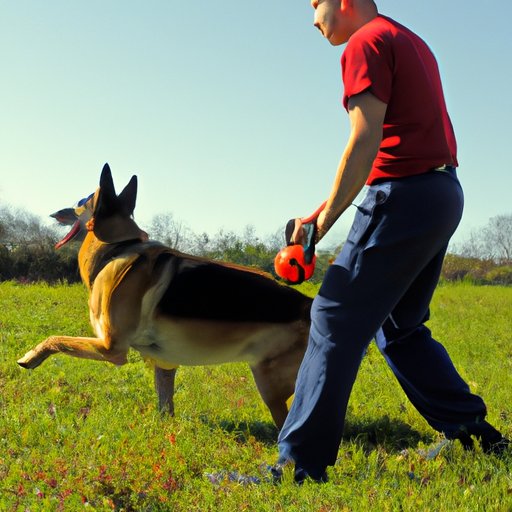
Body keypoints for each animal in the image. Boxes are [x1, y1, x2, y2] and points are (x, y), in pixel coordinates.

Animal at [17, 165, 312, 428]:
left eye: (81, 202)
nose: (55, 212)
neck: (119, 246)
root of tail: (310, 306)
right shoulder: (164, 363)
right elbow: (165, 406)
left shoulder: (111, 348)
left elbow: (55, 339)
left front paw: (31, 357)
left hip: (270, 385)